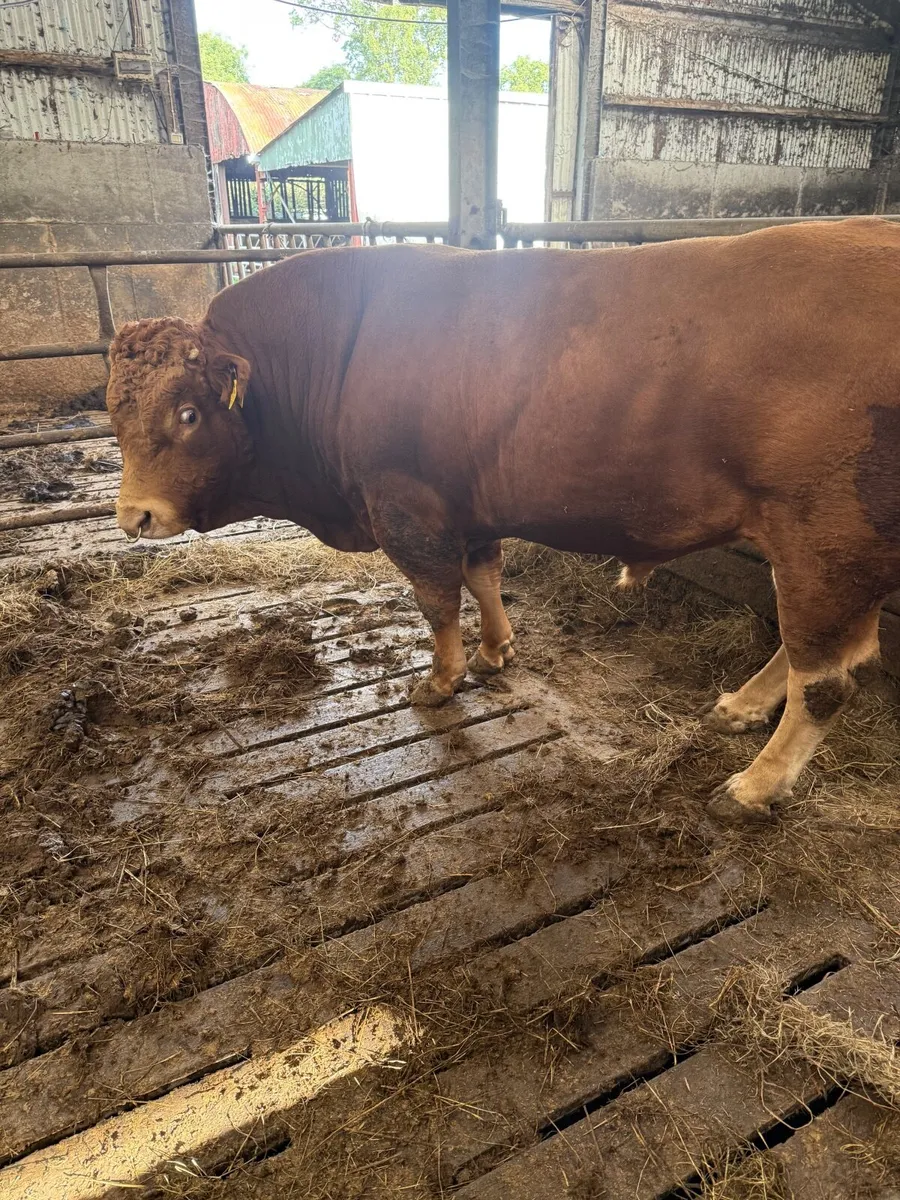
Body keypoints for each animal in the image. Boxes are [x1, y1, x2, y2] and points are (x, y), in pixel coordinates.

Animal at [106, 217, 900, 826]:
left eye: (187, 413)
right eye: (113, 409)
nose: (133, 515)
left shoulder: (406, 506)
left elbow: (436, 600)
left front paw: (442, 679)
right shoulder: (469, 504)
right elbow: (483, 575)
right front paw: (496, 652)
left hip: (825, 543)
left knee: (827, 679)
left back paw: (753, 785)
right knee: (808, 655)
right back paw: (739, 706)